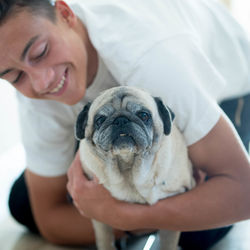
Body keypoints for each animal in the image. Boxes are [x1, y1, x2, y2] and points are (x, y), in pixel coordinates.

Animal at [74, 86, 195, 250]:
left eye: (144, 115)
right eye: (100, 120)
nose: (121, 120)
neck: (128, 167)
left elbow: (168, 243)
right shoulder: (98, 218)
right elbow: (105, 240)